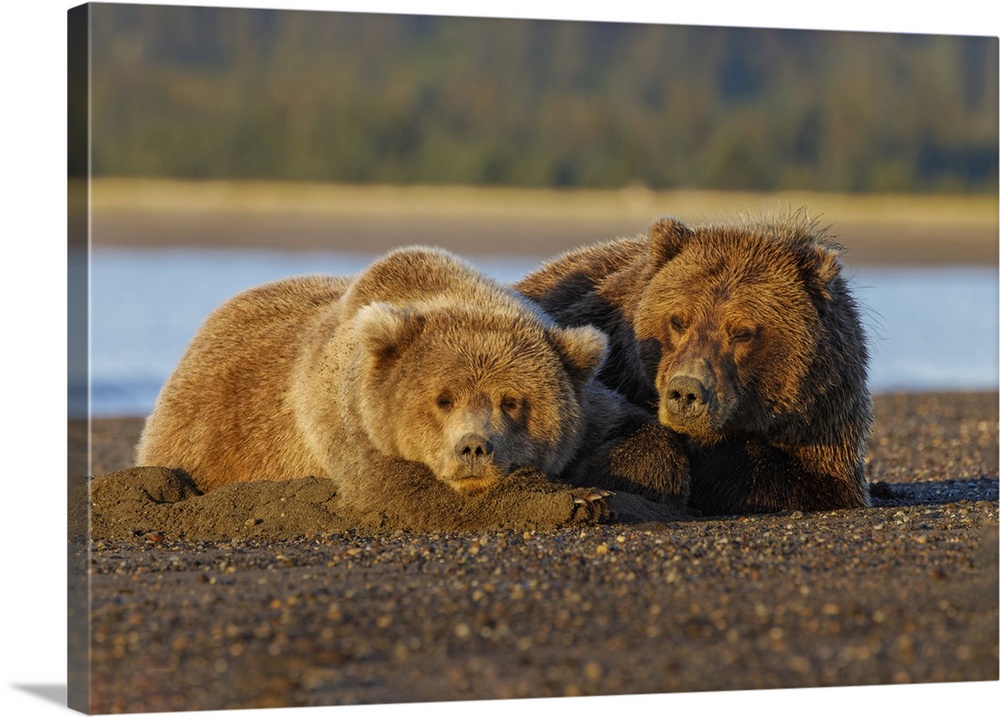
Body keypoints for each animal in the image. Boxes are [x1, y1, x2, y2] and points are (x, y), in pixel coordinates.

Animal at [139, 243, 688, 528]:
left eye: (512, 401)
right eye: (443, 399)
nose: (474, 447)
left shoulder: (591, 401)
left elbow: (639, 429)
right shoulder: (348, 416)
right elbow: (405, 489)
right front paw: (576, 500)